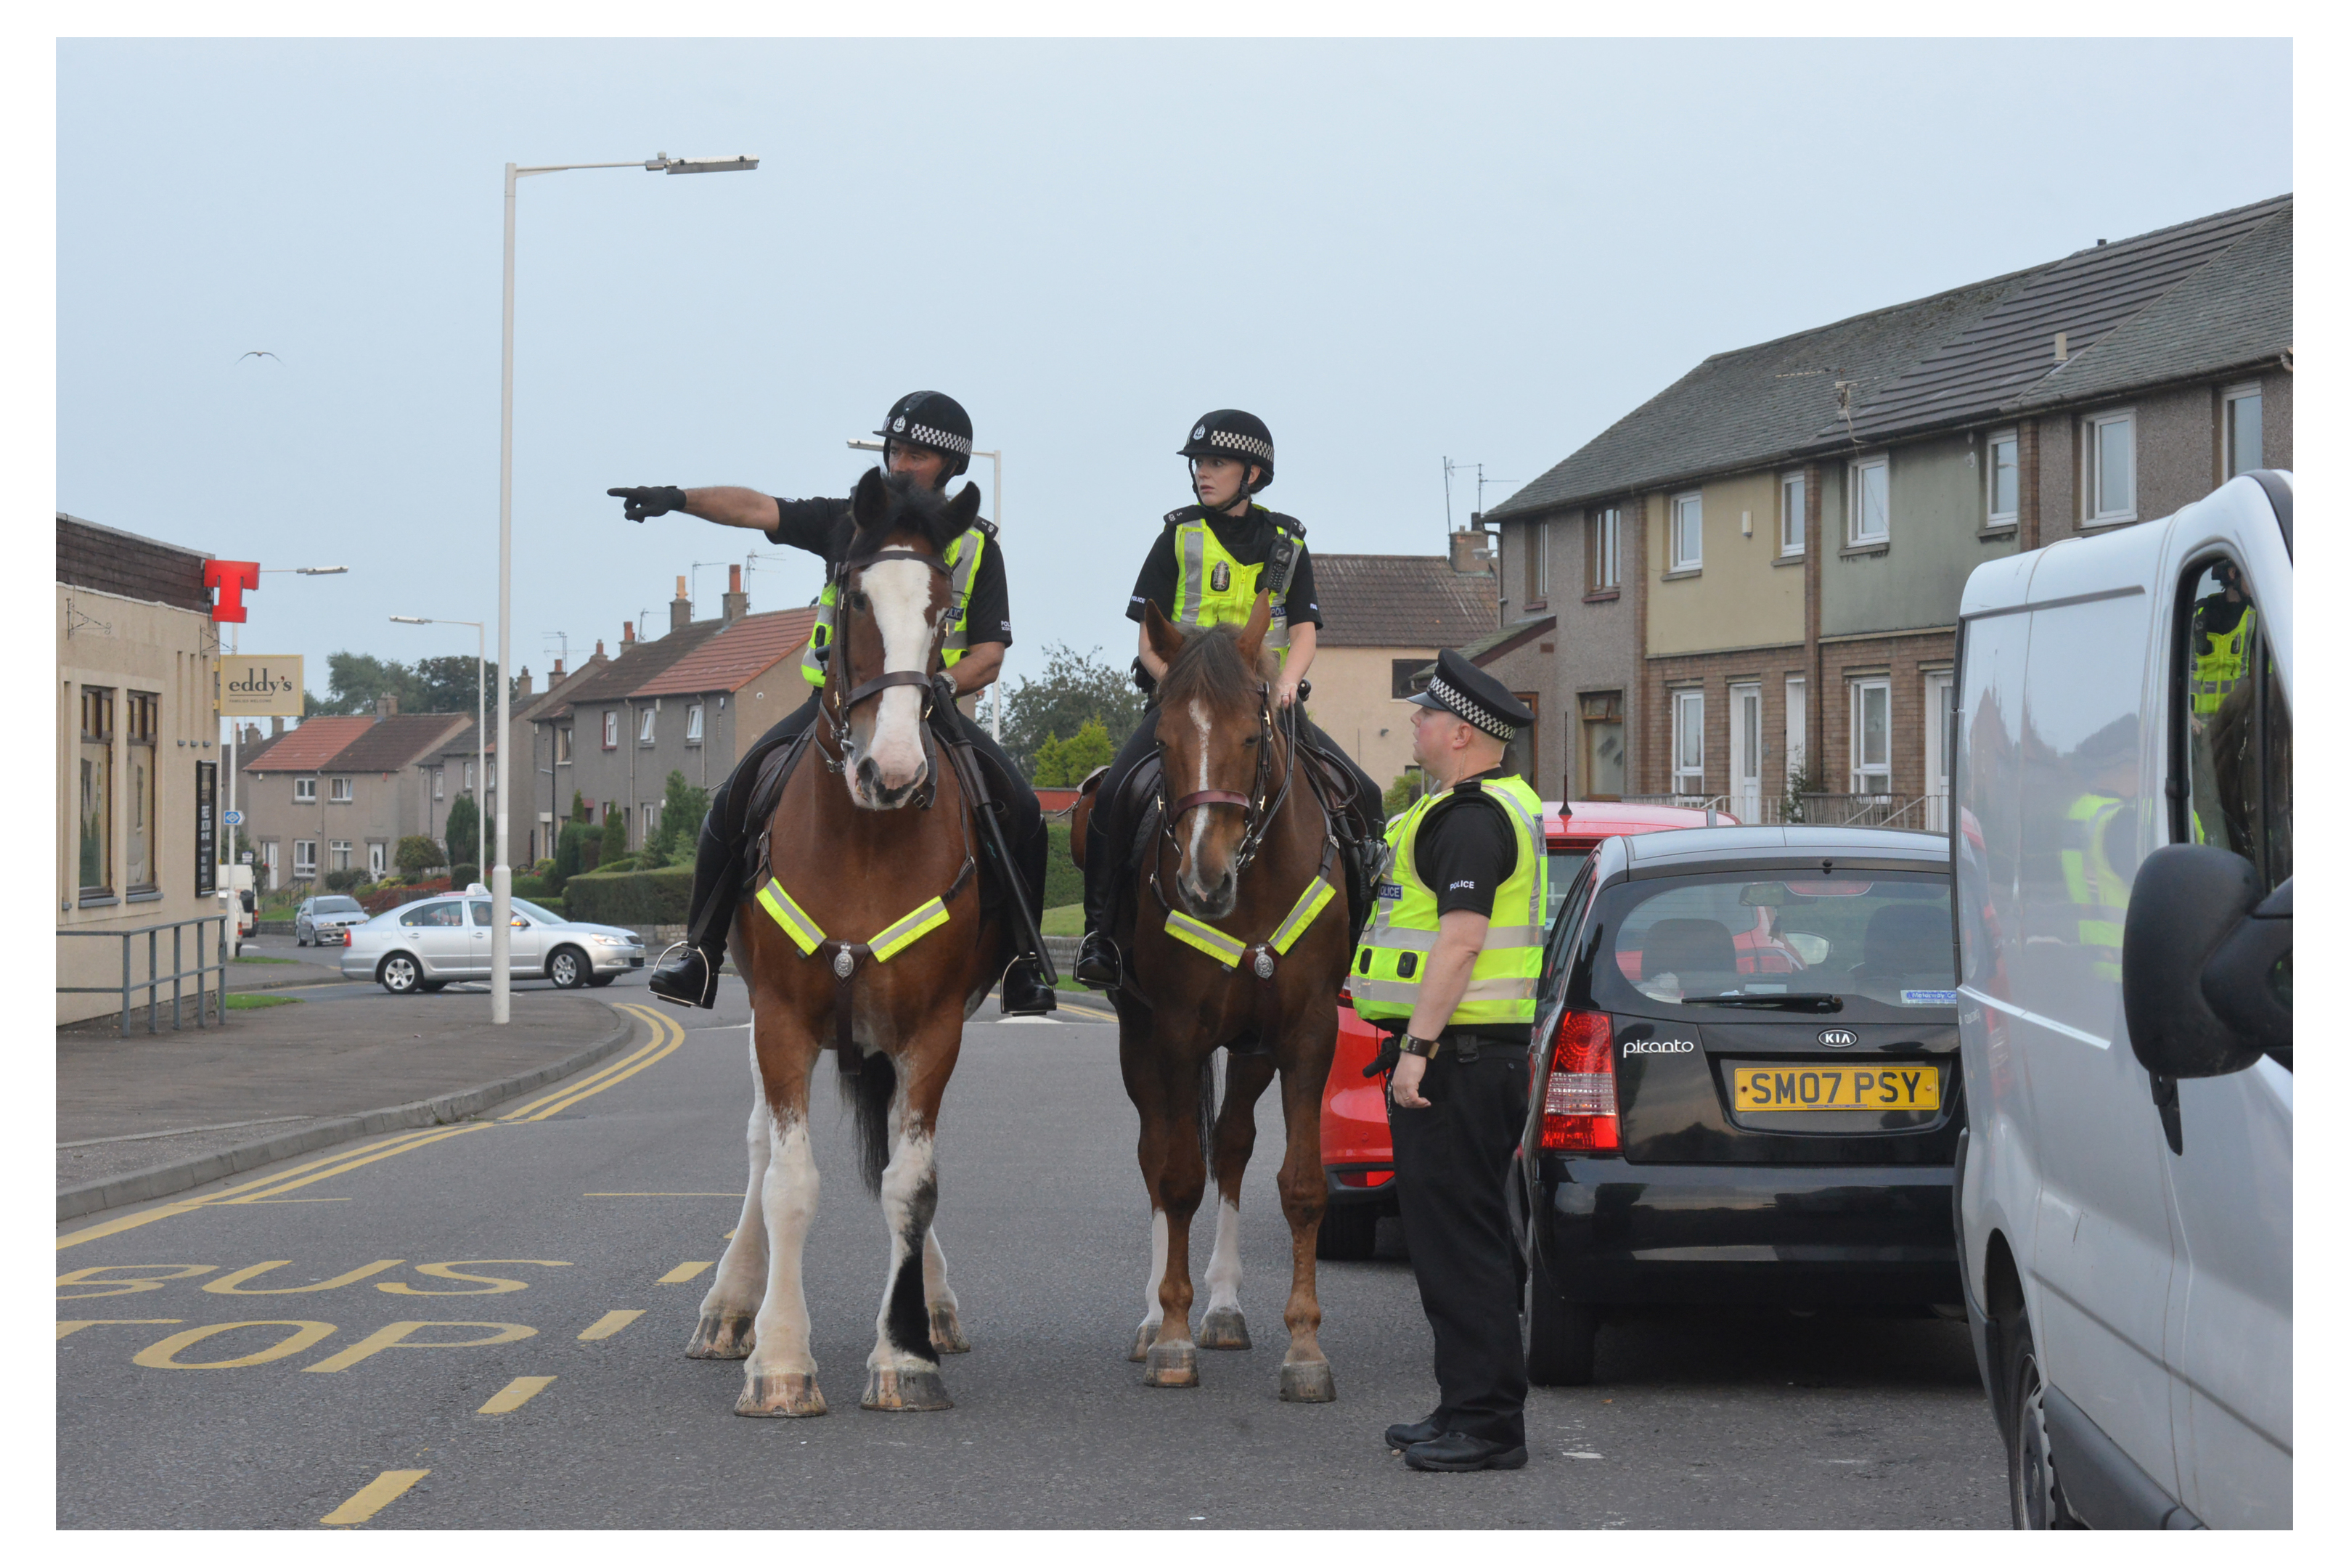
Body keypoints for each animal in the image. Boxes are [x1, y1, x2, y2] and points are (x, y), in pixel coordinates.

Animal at [685, 470, 1005, 1419]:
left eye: (942, 608)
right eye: (855, 597)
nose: (892, 772)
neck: (865, 837)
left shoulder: (934, 1029)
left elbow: (912, 1185)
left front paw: (904, 1354)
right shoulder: (782, 1021)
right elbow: (789, 1185)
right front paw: (781, 1362)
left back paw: (930, 1305)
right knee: (760, 1148)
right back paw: (731, 1304)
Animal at [1076, 595, 1352, 1401]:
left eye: (1251, 733)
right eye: (1166, 740)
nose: (1203, 883)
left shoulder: (1305, 1034)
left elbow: (1299, 1184)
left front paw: (1304, 1348)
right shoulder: (1174, 1033)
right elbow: (1176, 1179)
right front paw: (1170, 1337)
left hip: (1253, 1046)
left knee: (1230, 1144)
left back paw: (1225, 1308)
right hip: (1139, 1037)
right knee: (1157, 1153)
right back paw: (1152, 1320)